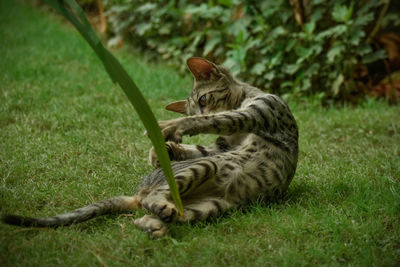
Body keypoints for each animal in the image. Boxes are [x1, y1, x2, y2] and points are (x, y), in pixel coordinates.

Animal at [2, 57, 296, 238]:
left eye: (204, 99)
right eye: (197, 103)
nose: (202, 107)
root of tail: (136, 193)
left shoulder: (257, 114)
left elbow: (212, 120)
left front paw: (167, 127)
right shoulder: (222, 146)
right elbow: (202, 139)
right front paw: (163, 149)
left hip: (209, 205)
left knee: (148, 212)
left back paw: (155, 224)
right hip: (206, 176)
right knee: (150, 202)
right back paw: (157, 218)